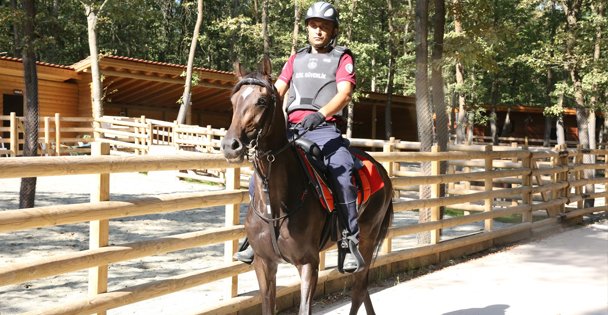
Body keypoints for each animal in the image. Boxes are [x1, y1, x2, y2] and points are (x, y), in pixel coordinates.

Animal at [222, 56, 394, 315]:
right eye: (233, 100)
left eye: (261, 101)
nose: (230, 145)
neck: (275, 206)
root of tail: (382, 171)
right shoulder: (264, 264)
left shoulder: (308, 264)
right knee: (363, 291)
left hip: (367, 239)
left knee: (358, 289)